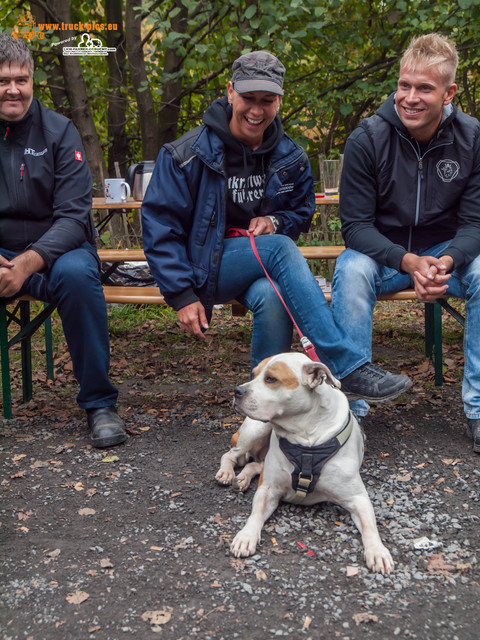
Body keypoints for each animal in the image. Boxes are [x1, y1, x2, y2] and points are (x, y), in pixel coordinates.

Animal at [217, 352, 394, 572]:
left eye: (271, 379)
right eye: (254, 373)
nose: (237, 390)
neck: (305, 435)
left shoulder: (358, 498)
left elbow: (370, 527)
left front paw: (377, 551)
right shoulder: (267, 490)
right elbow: (255, 514)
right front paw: (246, 535)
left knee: (254, 464)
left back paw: (242, 478)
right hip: (254, 430)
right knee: (231, 455)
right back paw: (227, 473)